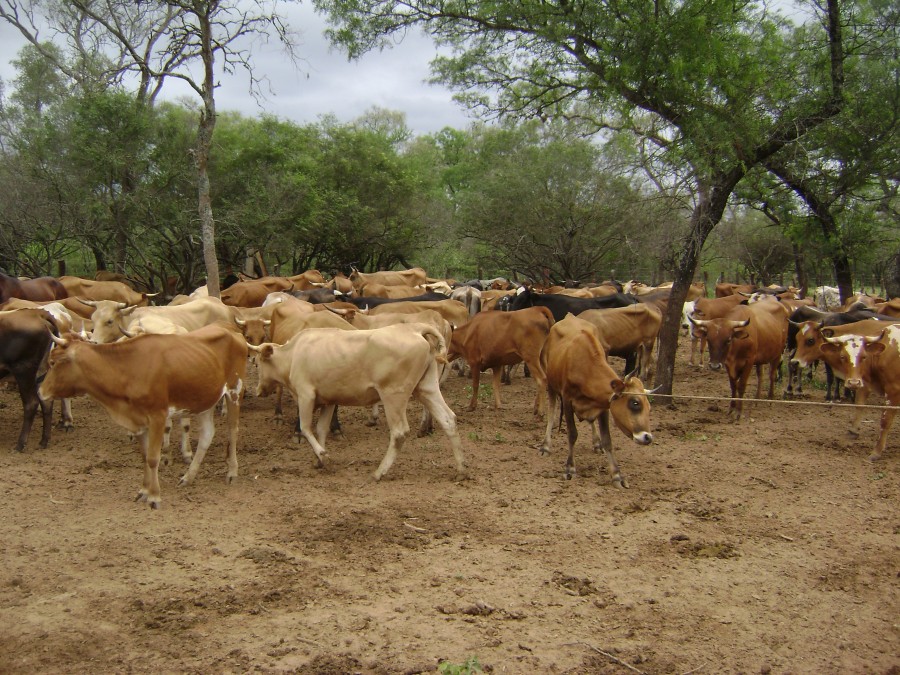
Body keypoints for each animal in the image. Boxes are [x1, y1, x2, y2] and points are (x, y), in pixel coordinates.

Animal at [0, 308, 57, 452]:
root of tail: (36, 313)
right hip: (41, 370)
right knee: (45, 401)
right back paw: (44, 441)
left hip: (23, 369)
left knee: (31, 403)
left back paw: (20, 444)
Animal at [40, 324, 246, 510]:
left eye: (53, 362)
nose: (40, 391)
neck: (128, 369)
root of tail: (232, 331)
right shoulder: (137, 420)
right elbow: (145, 456)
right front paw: (144, 491)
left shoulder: (157, 416)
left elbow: (153, 458)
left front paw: (154, 496)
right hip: (205, 399)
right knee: (207, 435)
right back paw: (188, 477)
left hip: (234, 390)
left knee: (233, 430)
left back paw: (232, 472)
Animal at [250, 324, 468, 484]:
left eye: (258, 363)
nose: (258, 390)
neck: (294, 354)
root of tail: (413, 328)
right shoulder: (329, 400)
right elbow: (321, 429)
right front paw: (319, 461)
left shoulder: (306, 395)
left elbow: (305, 428)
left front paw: (322, 454)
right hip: (426, 388)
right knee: (448, 420)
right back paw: (461, 470)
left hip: (393, 395)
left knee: (399, 432)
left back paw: (379, 472)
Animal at [536, 314, 652, 488]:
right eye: (635, 403)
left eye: (649, 407)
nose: (647, 437)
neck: (586, 367)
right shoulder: (567, 400)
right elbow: (572, 434)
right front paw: (570, 468)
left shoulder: (603, 405)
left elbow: (607, 440)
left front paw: (617, 475)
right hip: (551, 384)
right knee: (551, 413)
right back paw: (546, 446)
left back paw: (596, 443)